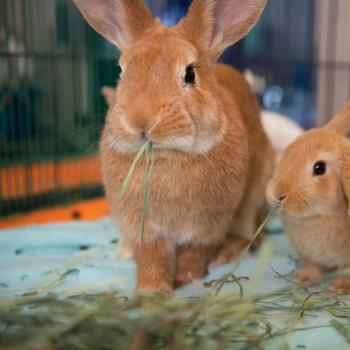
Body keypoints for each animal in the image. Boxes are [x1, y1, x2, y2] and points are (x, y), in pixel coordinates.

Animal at [74, 0, 276, 294]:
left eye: (190, 74)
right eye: (121, 71)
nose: (140, 120)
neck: (167, 156)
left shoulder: (205, 229)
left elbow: (194, 255)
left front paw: (184, 280)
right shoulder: (146, 231)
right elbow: (151, 259)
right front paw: (150, 291)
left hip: (254, 200)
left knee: (252, 236)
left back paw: (227, 254)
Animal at [266, 102, 350, 294]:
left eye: (320, 168)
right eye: (287, 152)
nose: (278, 195)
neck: (320, 216)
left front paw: (339, 287)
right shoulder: (310, 256)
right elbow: (313, 267)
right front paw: (303, 278)